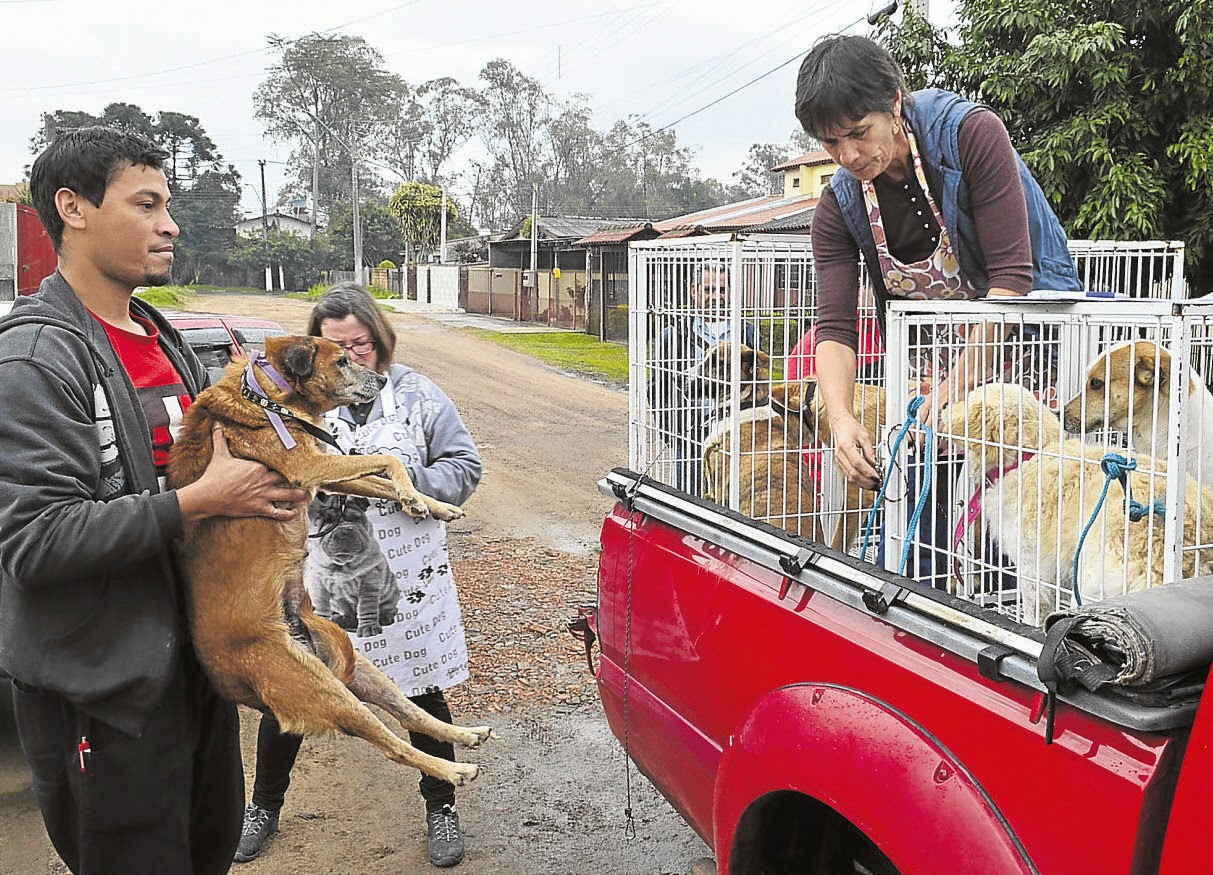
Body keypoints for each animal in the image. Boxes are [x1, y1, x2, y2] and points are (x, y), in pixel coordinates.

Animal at [168, 334, 490, 786]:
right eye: (341, 361)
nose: (382, 379)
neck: (269, 396)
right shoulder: (309, 464)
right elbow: (388, 461)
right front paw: (415, 496)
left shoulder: (327, 471)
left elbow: (380, 479)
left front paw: (432, 503)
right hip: (327, 692)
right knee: (393, 745)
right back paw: (452, 768)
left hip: (364, 674)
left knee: (412, 713)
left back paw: (464, 734)